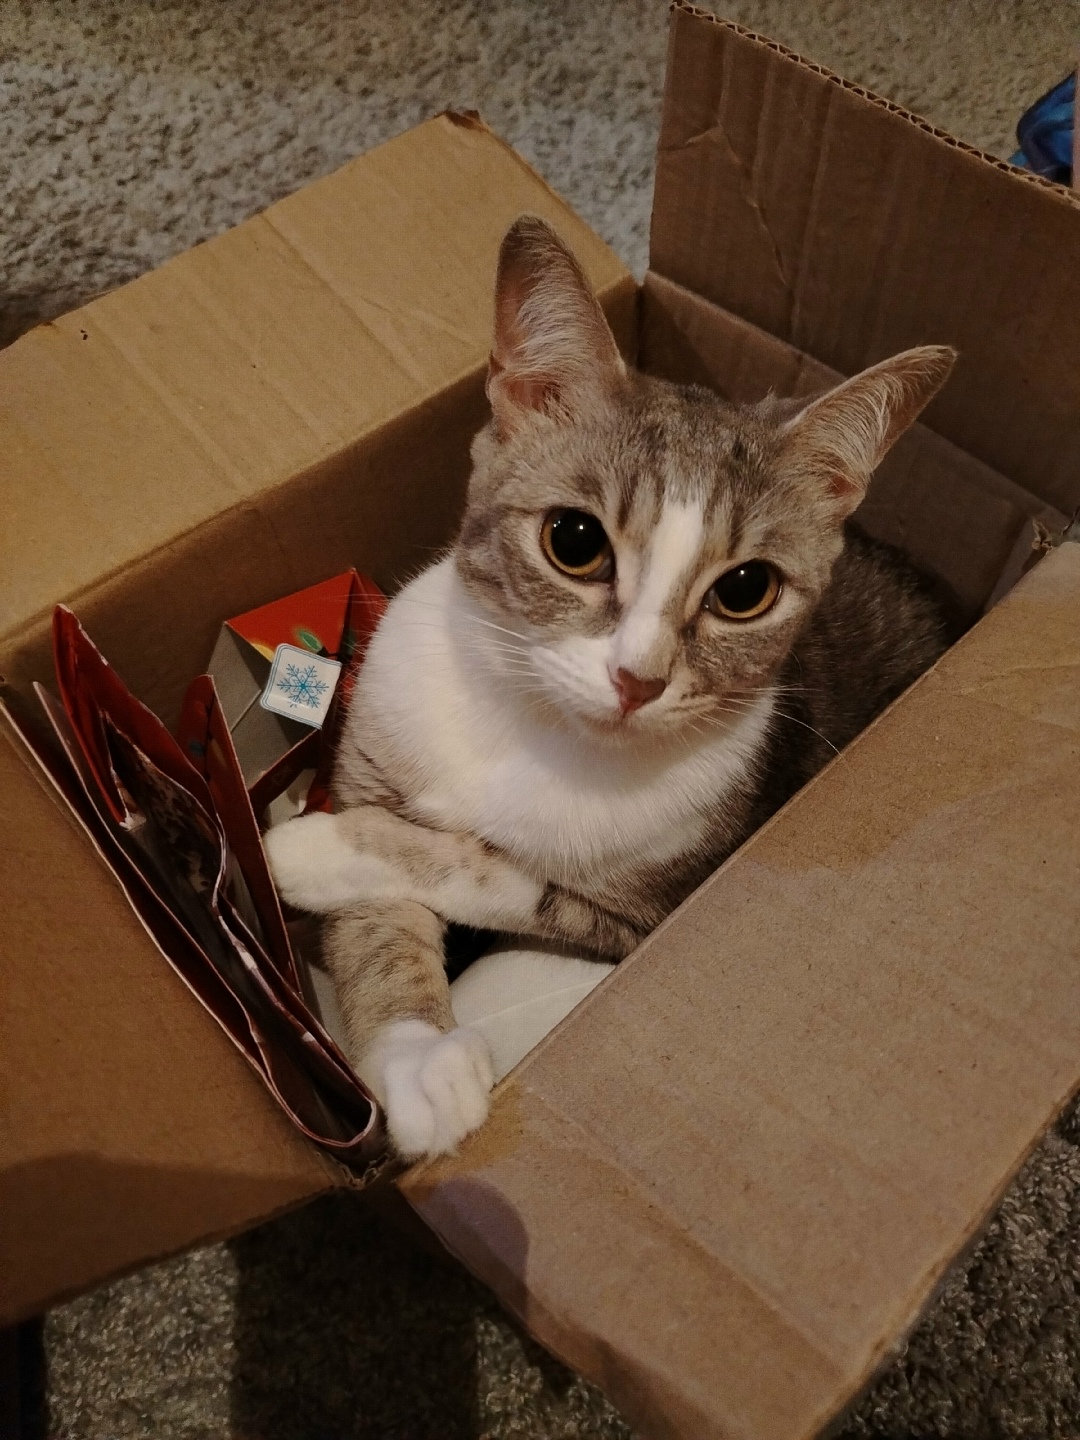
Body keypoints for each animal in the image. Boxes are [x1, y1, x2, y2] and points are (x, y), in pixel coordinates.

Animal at [265, 214, 955, 1162]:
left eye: (746, 590)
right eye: (575, 540)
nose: (639, 677)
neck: (535, 730)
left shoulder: (645, 916)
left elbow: (501, 872)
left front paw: (309, 849)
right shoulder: (372, 749)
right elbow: (378, 926)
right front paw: (414, 1058)